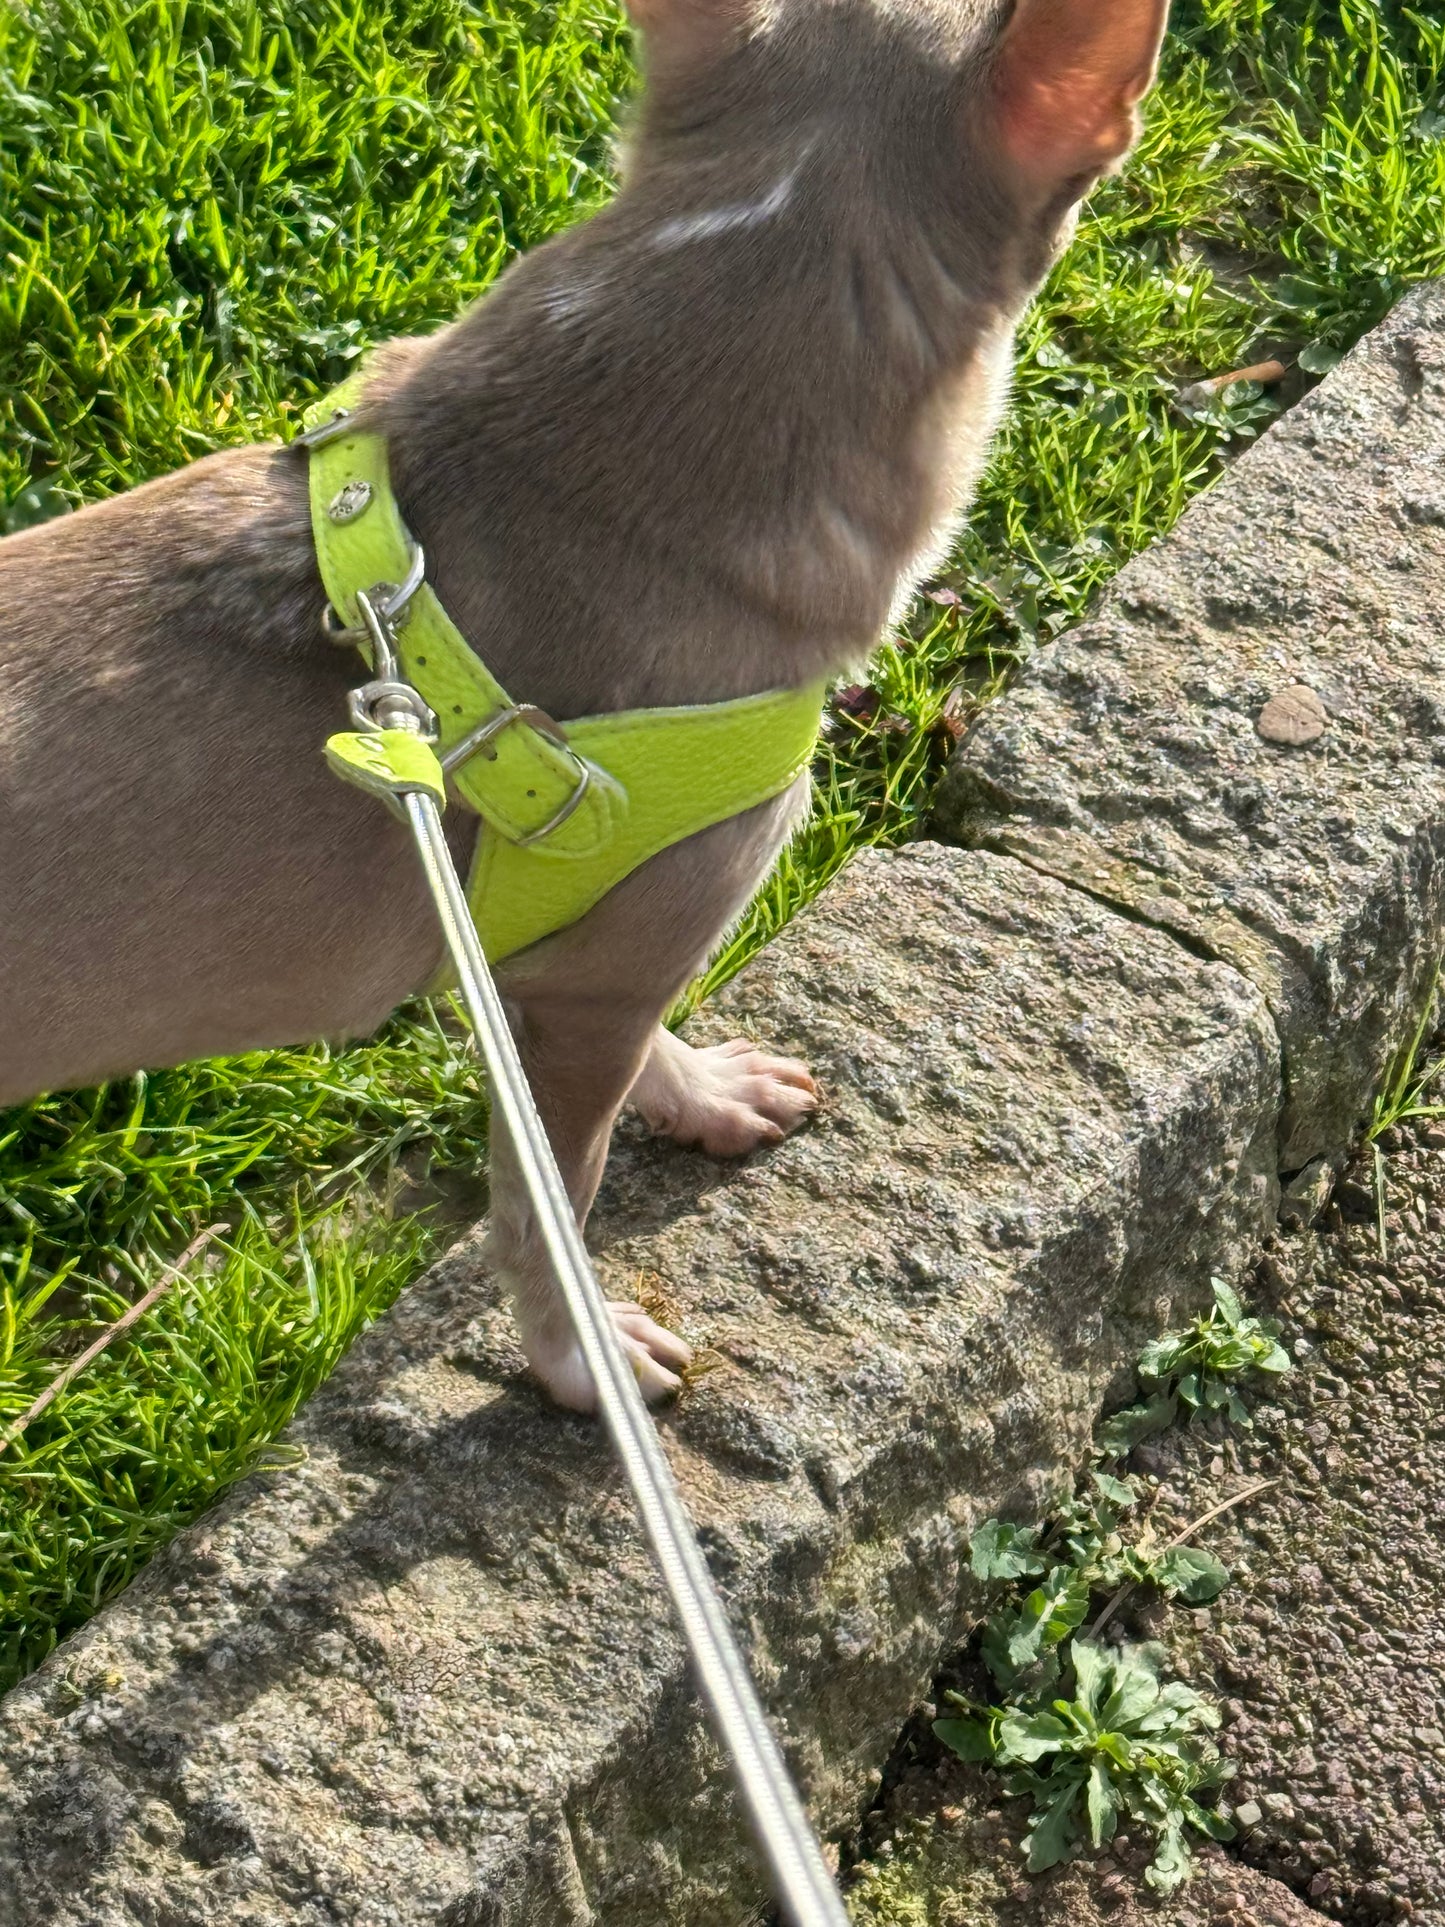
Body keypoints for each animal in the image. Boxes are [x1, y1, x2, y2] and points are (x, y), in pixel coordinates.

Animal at [0, 0, 1171, 1418]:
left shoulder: (541, 959)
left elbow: (643, 1046)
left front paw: (705, 1092)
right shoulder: (599, 983)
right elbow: (549, 1203)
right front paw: (578, 1362)